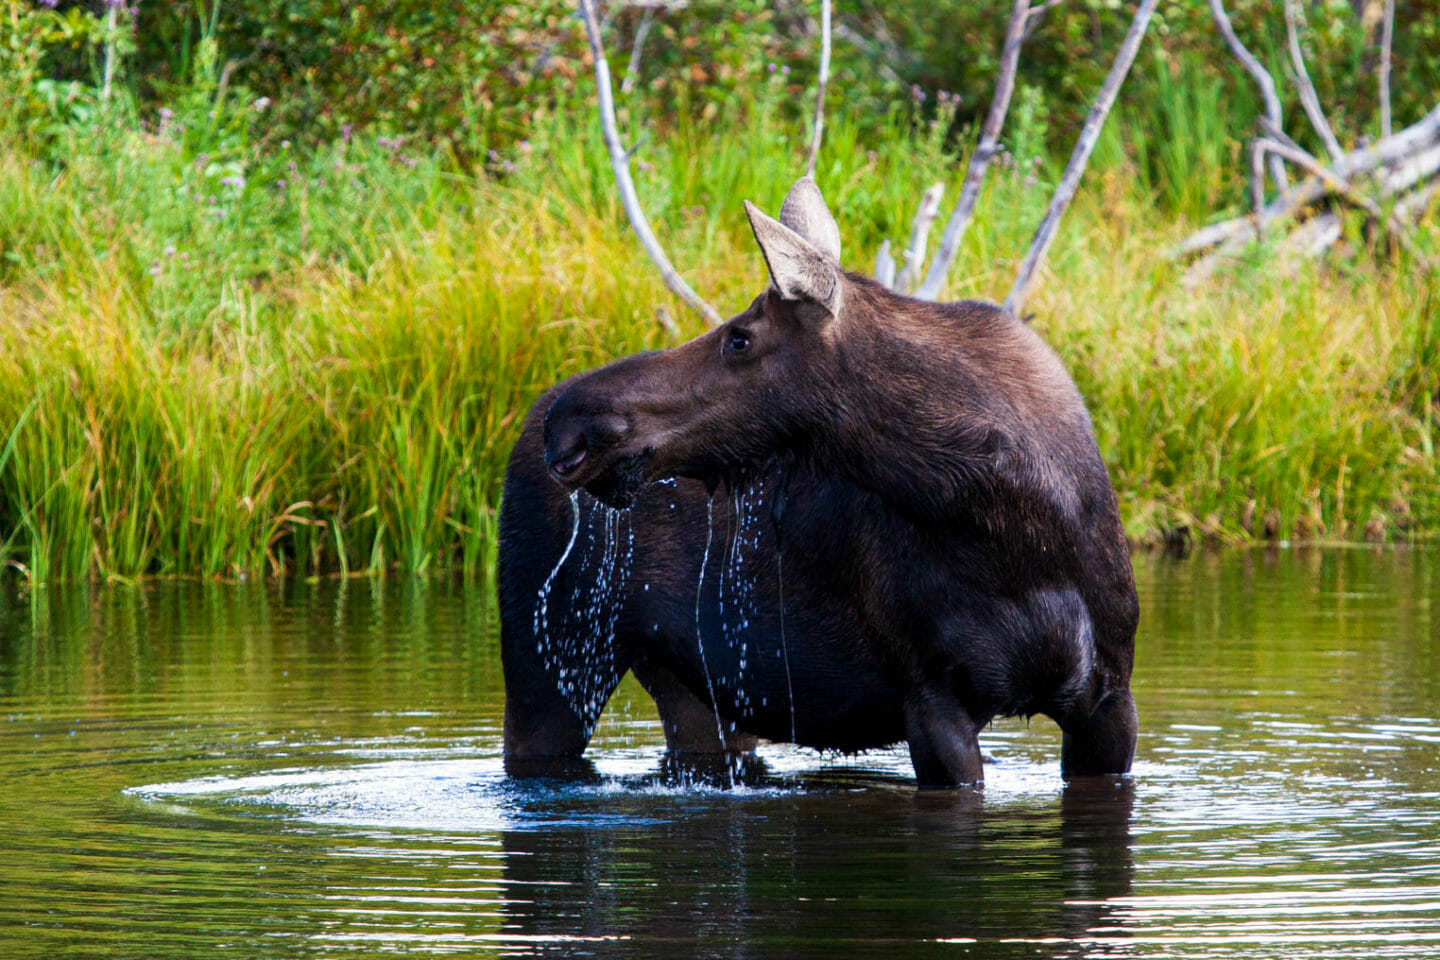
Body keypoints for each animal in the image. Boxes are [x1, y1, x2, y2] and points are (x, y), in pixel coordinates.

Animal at [498, 174, 1134, 788]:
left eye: (739, 338)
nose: (571, 425)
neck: (1019, 528)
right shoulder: (932, 698)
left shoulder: (1109, 697)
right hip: (550, 659)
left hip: (690, 686)